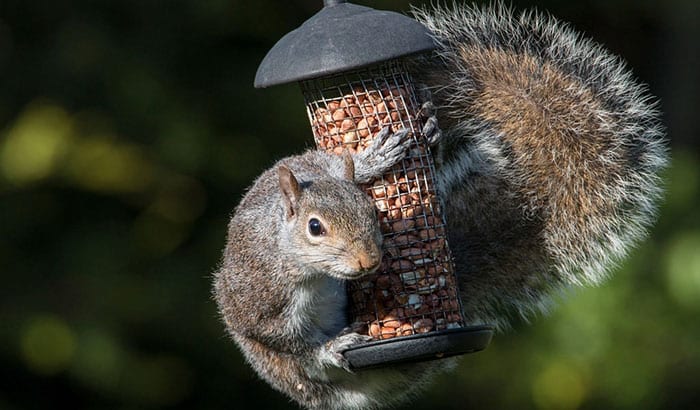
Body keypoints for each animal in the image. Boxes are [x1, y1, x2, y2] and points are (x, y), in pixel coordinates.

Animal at [212, 3, 668, 410]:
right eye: (314, 228)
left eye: (372, 212)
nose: (368, 261)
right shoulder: (262, 299)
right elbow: (288, 341)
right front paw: (329, 347)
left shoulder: (316, 165)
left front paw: (377, 157)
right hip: (285, 372)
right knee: (305, 368)